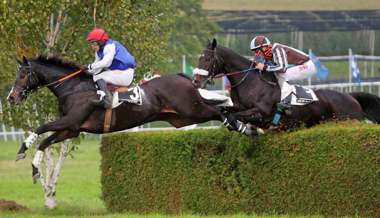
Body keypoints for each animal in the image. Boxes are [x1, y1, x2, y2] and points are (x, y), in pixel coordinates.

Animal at [8, 55, 252, 181]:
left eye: (23, 75)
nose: (11, 97)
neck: (73, 88)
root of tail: (184, 79)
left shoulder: (70, 122)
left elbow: (40, 128)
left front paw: (22, 148)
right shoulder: (73, 128)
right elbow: (45, 141)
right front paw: (34, 169)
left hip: (193, 110)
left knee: (220, 111)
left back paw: (243, 127)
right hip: (181, 117)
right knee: (222, 107)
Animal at [193, 38, 380, 129]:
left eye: (207, 59)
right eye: (199, 58)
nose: (195, 81)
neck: (249, 83)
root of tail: (351, 97)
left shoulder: (261, 113)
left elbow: (235, 115)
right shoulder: (239, 107)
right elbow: (226, 110)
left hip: (349, 119)